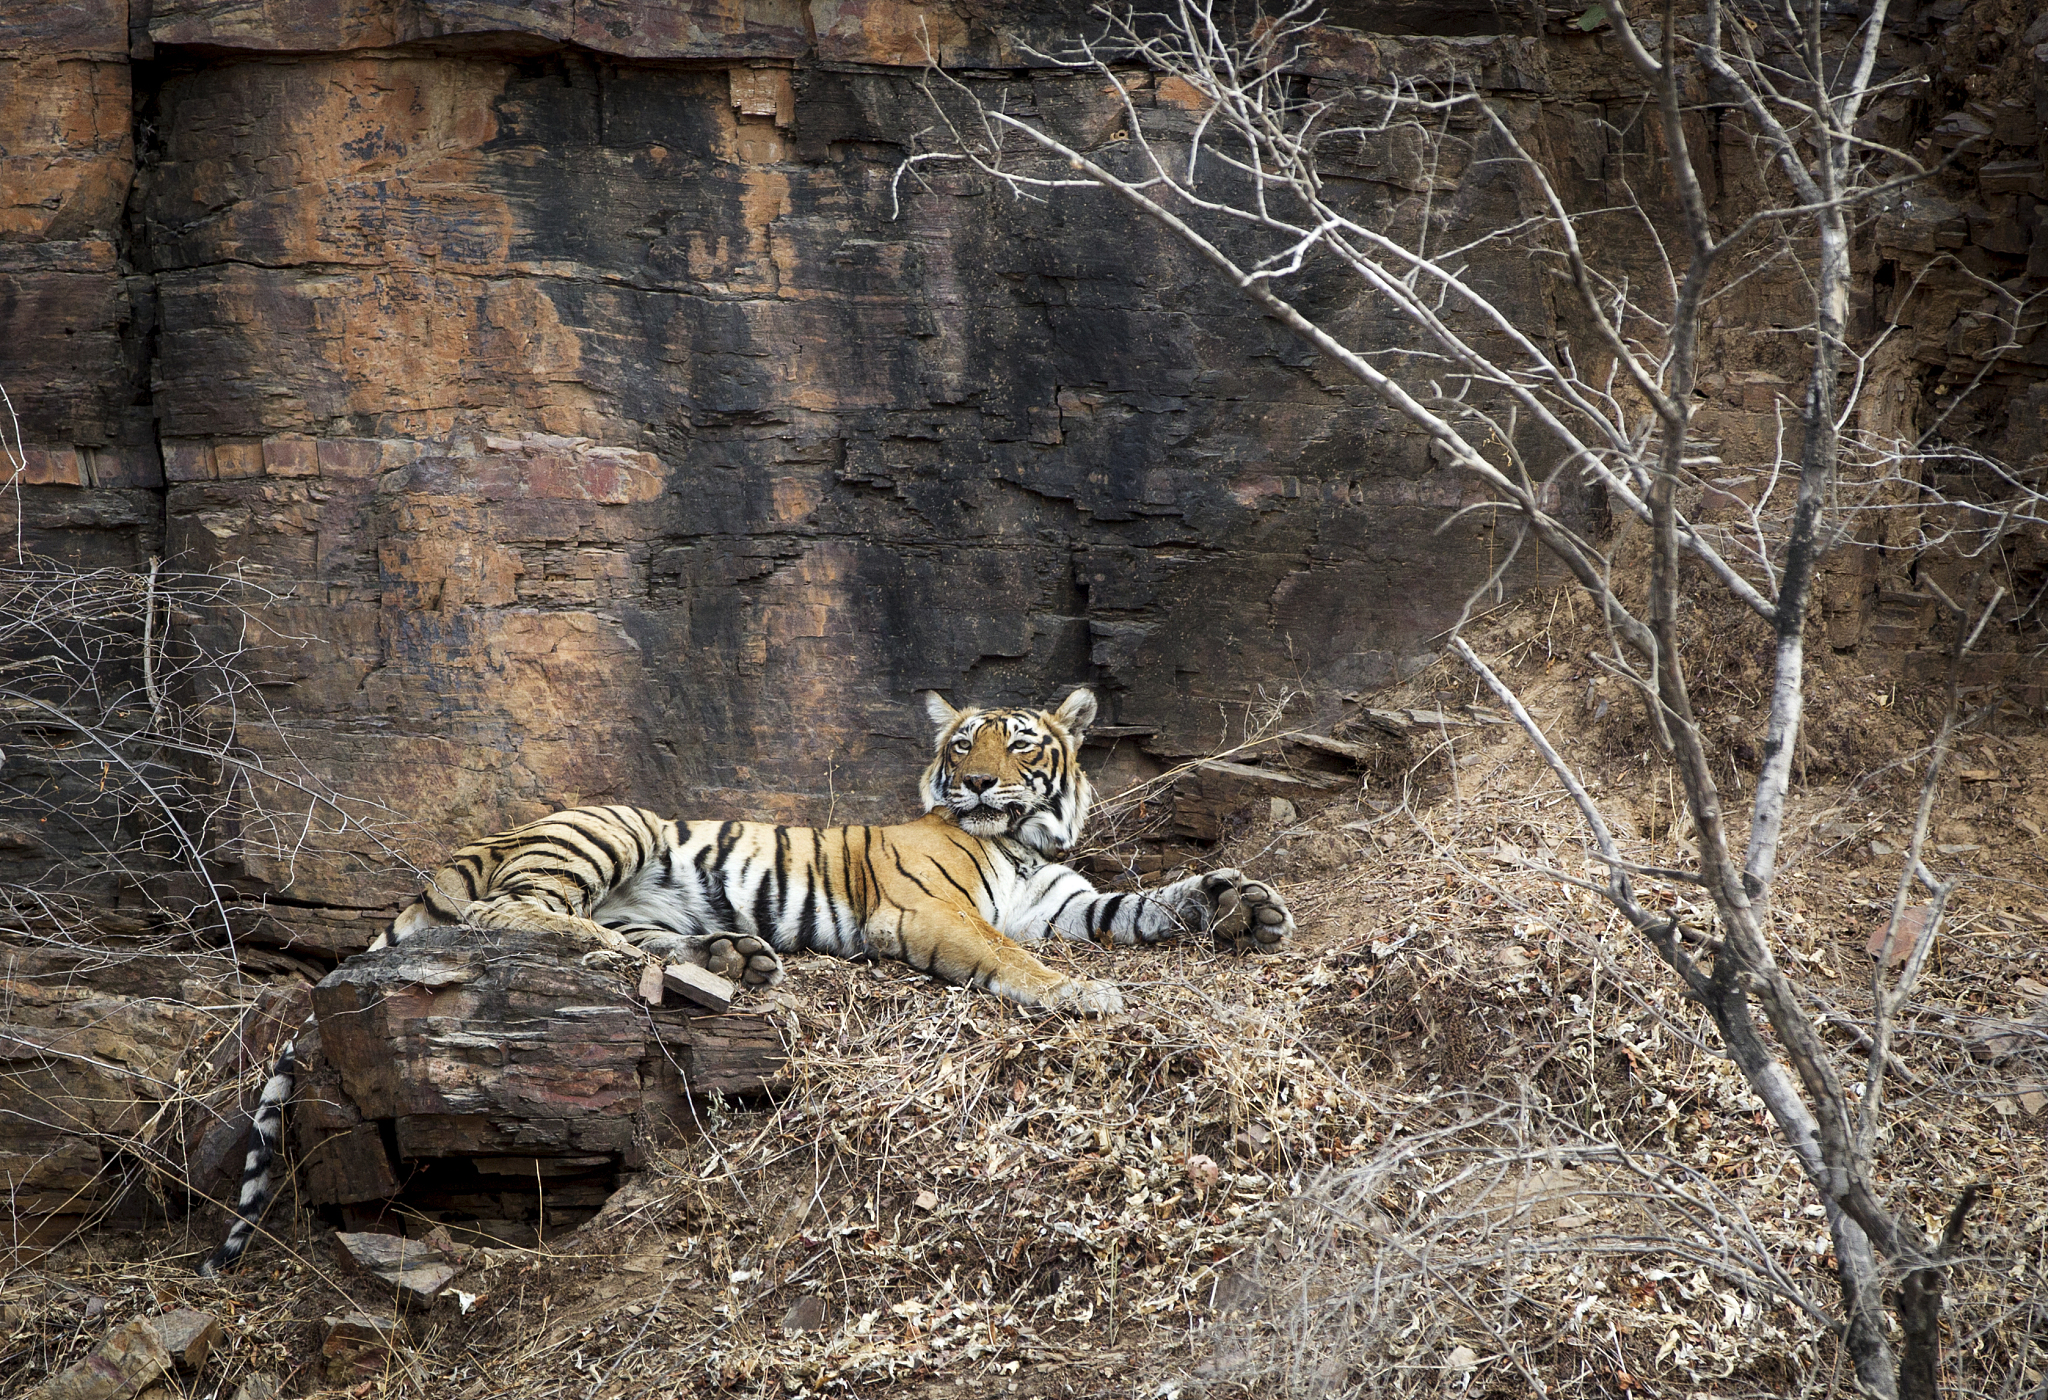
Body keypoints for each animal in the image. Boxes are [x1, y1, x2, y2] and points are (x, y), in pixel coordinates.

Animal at [207, 683, 1294, 1277]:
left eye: (1018, 741)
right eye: (962, 743)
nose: (980, 782)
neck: (1025, 839)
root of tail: (476, 843)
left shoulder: (1067, 902)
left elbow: (1142, 906)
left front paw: (1238, 904)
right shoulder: (934, 913)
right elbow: (1013, 958)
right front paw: (1082, 993)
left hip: (644, 887)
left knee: (638, 937)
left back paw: (735, 955)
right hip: (609, 826)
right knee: (507, 909)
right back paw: (622, 949)